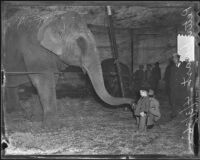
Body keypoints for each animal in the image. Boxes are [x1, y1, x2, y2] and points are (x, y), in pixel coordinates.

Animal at [2, 10, 134, 125]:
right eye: (80, 42)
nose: (132, 103)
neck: (52, 19)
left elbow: (51, 78)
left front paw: (38, 117)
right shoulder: (33, 47)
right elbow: (43, 78)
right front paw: (51, 126)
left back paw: (16, 111)